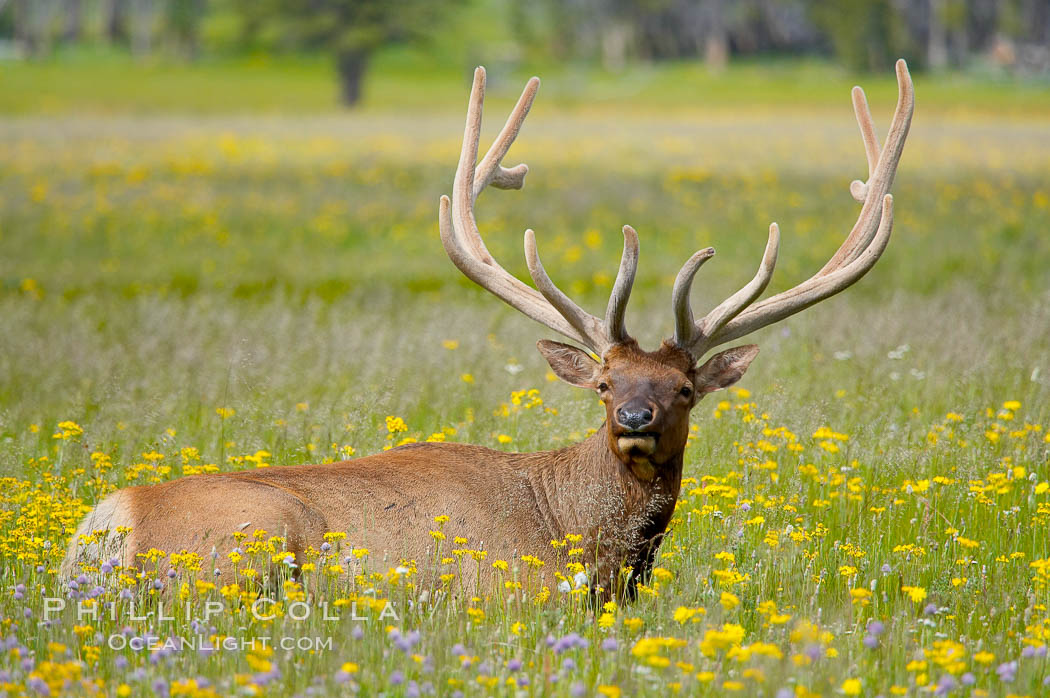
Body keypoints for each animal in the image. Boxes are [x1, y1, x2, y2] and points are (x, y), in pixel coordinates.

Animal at [63, 62, 911, 600]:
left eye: (683, 388)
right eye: (605, 383)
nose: (636, 417)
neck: (584, 542)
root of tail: (109, 525)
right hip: (252, 545)